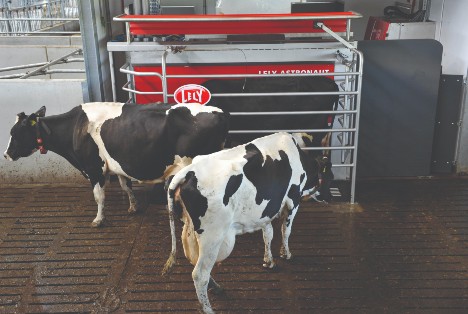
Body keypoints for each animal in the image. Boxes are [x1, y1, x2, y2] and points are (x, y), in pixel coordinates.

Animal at [3, 102, 230, 227]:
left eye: (15, 132)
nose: (6, 155)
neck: (75, 127)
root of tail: (219, 113)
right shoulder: (117, 165)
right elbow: (125, 185)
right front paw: (132, 207)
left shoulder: (93, 167)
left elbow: (99, 195)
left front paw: (98, 220)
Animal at [163, 132, 320, 314]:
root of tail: (186, 172)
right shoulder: (293, 199)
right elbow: (285, 231)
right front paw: (286, 254)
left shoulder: (266, 211)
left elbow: (268, 234)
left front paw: (268, 260)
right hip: (212, 236)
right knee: (200, 274)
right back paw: (208, 308)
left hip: (190, 230)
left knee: (196, 262)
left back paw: (216, 288)